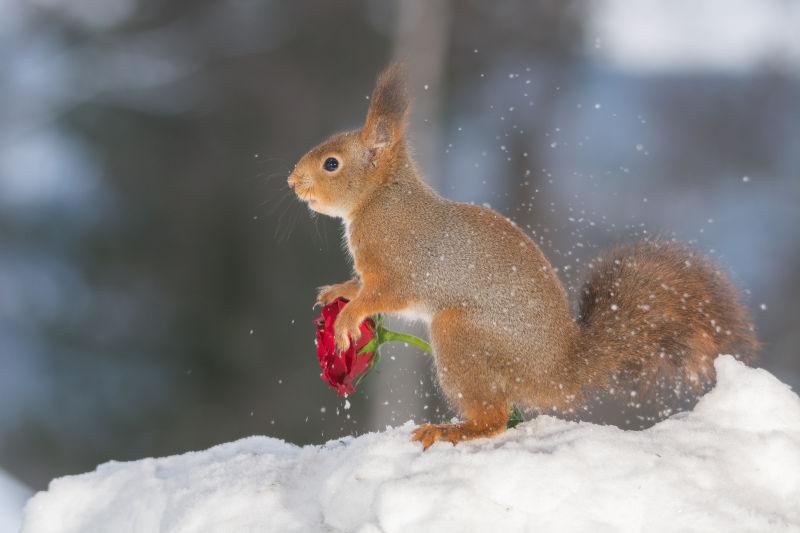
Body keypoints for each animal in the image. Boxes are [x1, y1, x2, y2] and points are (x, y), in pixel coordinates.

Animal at [286, 63, 756, 448]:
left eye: (331, 164)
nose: (292, 180)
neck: (379, 200)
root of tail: (556, 372)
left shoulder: (400, 265)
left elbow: (383, 295)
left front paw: (347, 319)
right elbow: (359, 285)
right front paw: (337, 292)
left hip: (460, 336)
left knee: (493, 418)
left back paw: (451, 430)